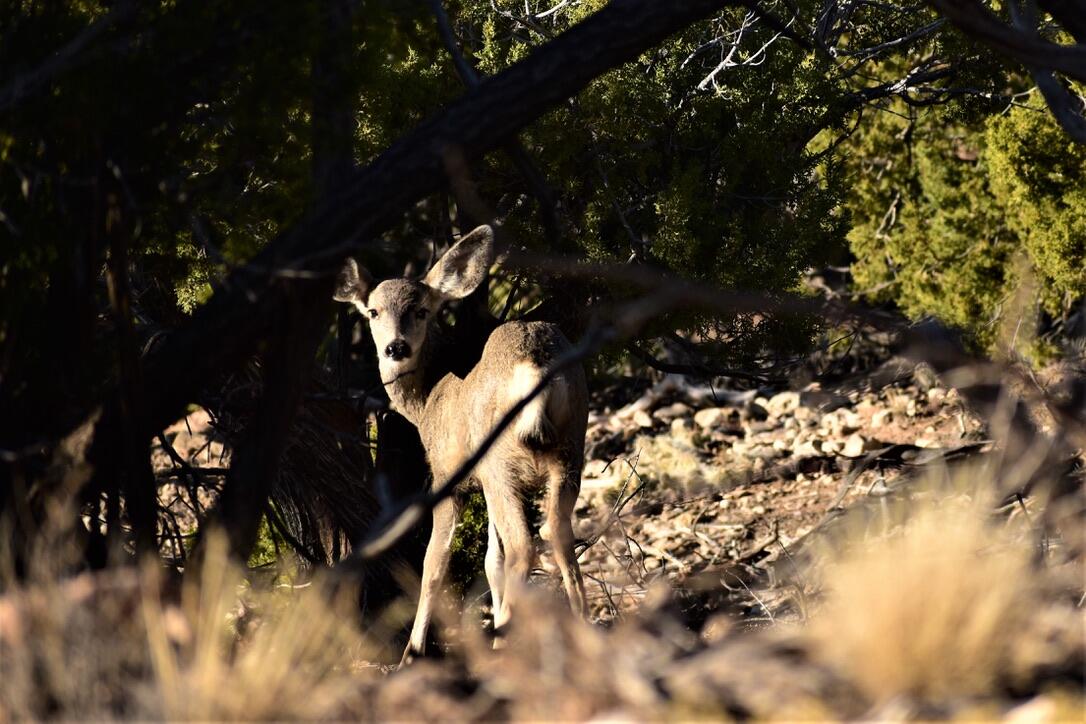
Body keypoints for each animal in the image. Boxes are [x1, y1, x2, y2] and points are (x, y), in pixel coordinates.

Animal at [333, 225, 589, 665]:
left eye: (421, 310)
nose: (396, 347)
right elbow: (490, 561)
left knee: (524, 544)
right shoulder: (481, 480)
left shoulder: (448, 475)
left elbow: (434, 561)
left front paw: (413, 651)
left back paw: (504, 639)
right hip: (571, 445)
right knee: (557, 530)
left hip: (501, 459)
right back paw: (586, 632)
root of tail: (536, 365)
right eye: (374, 312)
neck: (428, 399)